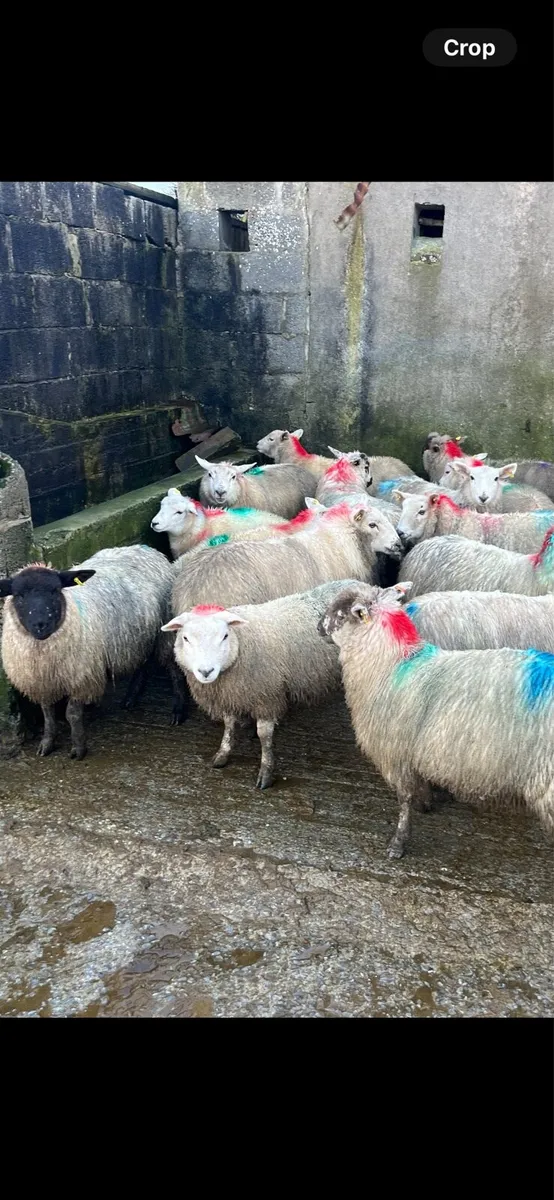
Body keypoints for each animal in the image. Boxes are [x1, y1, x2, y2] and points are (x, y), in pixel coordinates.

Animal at [0, 546, 188, 760]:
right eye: (19, 595)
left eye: (55, 590)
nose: (41, 625)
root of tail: (145, 548)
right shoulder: (41, 681)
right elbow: (48, 713)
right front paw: (47, 743)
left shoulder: (82, 677)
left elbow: (72, 714)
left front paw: (78, 749)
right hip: (139, 636)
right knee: (142, 663)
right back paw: (131, 697)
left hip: (164, 633)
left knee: (174, 670)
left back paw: (178, 711)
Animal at [161, 578, 360, 789]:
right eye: (185, 638)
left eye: (224, 636)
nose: (206, 671)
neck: (241, 646)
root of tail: (358, 584)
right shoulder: (230, 695)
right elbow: (229, 726)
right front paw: (223, 754)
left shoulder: (266, 696)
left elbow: (264, 736)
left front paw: (266, 772)